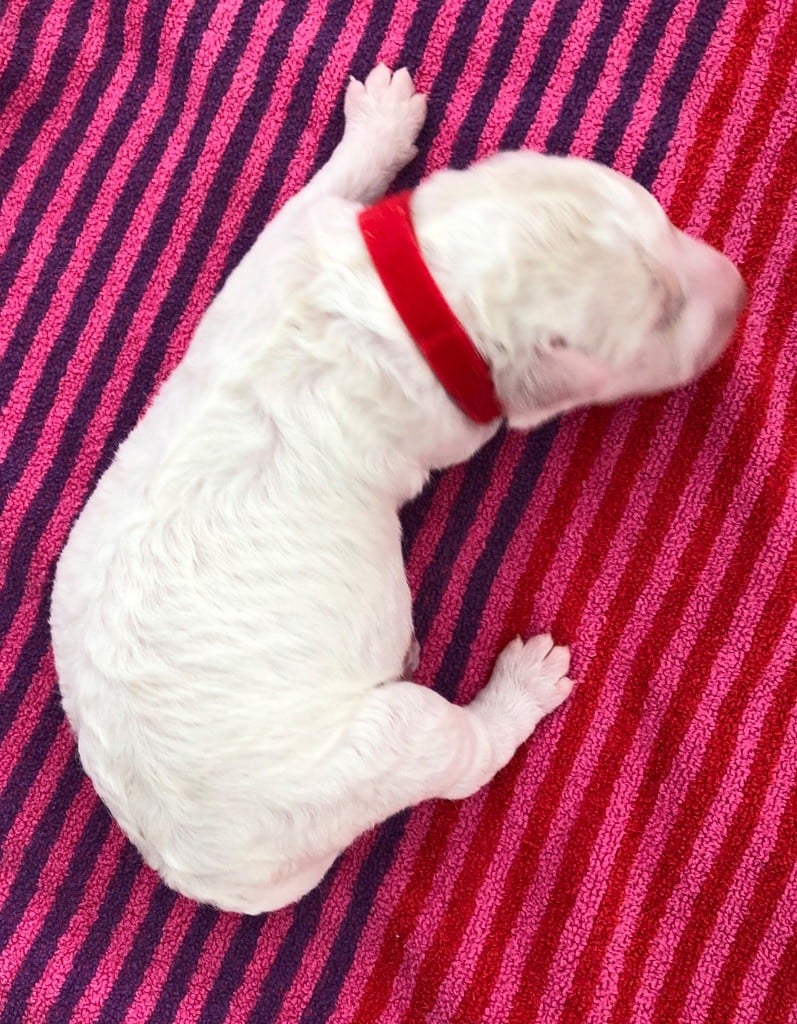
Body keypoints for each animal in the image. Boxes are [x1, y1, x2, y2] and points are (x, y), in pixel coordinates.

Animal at [50, 65, 746, 914]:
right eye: (664, 314)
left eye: (666, 224)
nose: (740, 291)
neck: (413, 295)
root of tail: (200, 872)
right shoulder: (453, 414)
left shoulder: (297, 238)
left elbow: (324, 186)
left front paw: (378, 123)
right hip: (377, 747)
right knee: (459, 757)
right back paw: (520, 687)